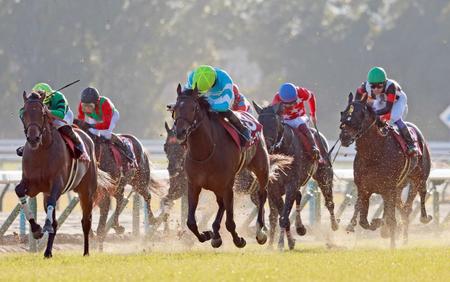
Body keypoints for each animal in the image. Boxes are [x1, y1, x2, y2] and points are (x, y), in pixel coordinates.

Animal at [17, 91, 112, 258]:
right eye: (24, 113)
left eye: (42, 113)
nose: (33, 138)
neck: (41, 151)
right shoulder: (32, 184)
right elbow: (19, 191)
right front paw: (36, 229)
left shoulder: (57, 184)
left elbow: (52, 210)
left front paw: (45, 226)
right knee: (58, 221)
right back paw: (48, 252)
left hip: (86, 191)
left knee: (86, 222)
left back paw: (86, 252)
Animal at [172, 85, 274, 248]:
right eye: (175, 108)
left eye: (193, 108)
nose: (180, 132)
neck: (205, 152)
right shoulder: (194, 185)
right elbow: (190, 222)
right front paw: (206, 234)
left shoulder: (227, 186)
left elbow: (230, 223)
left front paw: (239, 240)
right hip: (217, 186)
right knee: (221, 205)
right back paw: (215, 234)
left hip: (261, 168)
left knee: (261, 195)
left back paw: (260, 231)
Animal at [253, 102, 338, 250]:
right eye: (260, 122)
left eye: (275, 122)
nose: (267, 147)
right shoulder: (274, 188)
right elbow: (281, 215)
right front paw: (288, 241)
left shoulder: (291, 185)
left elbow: (284, 216)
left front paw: (281, 243)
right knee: (297, 197)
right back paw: (300, 228)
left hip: (324, 175)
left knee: (329, 202)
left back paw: (333, 226)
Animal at [338, 92, 432, 247]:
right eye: (344, 113)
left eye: (359, 114)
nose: (344, 137)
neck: (374, 154)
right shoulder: (365, 189)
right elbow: (363, 220)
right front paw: (377, 224)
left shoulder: (389, 188)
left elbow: (391, 219)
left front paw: (392, 244)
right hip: (399, 187)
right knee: (403, 209)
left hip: (418, 178)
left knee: (417, 198)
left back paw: (422, 220)